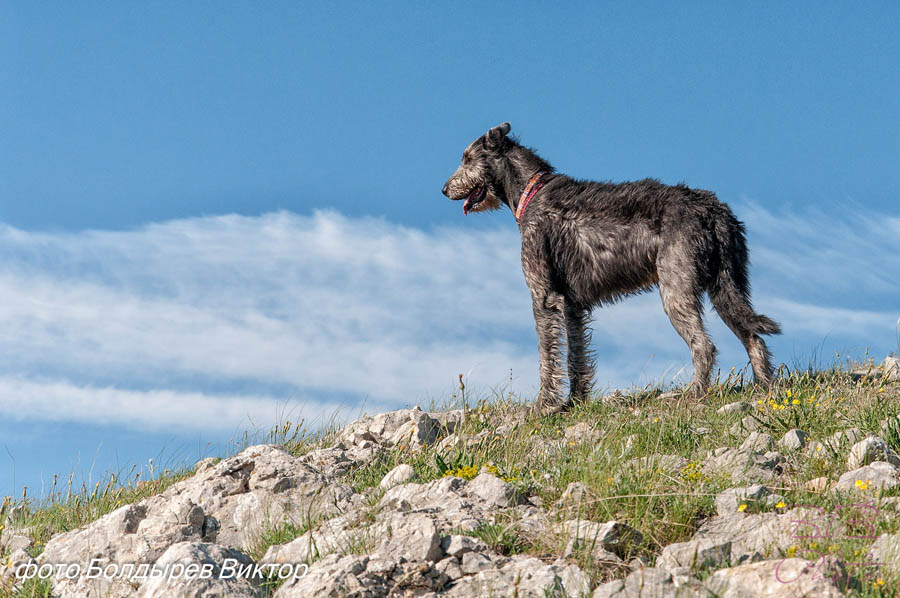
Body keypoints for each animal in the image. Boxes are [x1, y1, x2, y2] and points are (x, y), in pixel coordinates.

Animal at [442, 122, 780, 412]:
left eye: (467, 159)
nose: (445, 189)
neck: (530, 192)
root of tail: (713, 209)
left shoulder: (543, 297)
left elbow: (547, 356)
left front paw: (543, 406)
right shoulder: (572, 306)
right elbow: (575, 355)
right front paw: (574, 401)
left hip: (676, 288)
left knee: (704, 345)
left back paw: (694, 393)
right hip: (727, 285)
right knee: (753, 337)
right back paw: (765, 387)